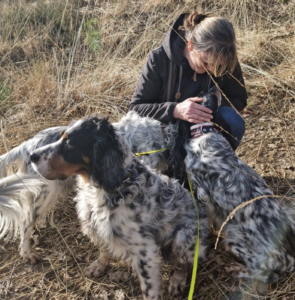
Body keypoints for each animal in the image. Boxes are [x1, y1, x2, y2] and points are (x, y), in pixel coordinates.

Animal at [29, 115, 210, 300]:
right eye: (60, 137)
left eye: (69, 143)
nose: (32, 155)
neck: (114, 184)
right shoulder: (97, 227)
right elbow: (104, 251)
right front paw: (99, 266)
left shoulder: (145, 252)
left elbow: (149, 290)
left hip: (183, 238)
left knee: (187, 263)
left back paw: (177, 279)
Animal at [172, 85, 295, 282]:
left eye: (203, 93)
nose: (214, 86)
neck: (204, 133)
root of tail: (291, 258)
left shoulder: (202, 196)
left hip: (234, 235)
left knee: (266, 275)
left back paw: (236, 270)